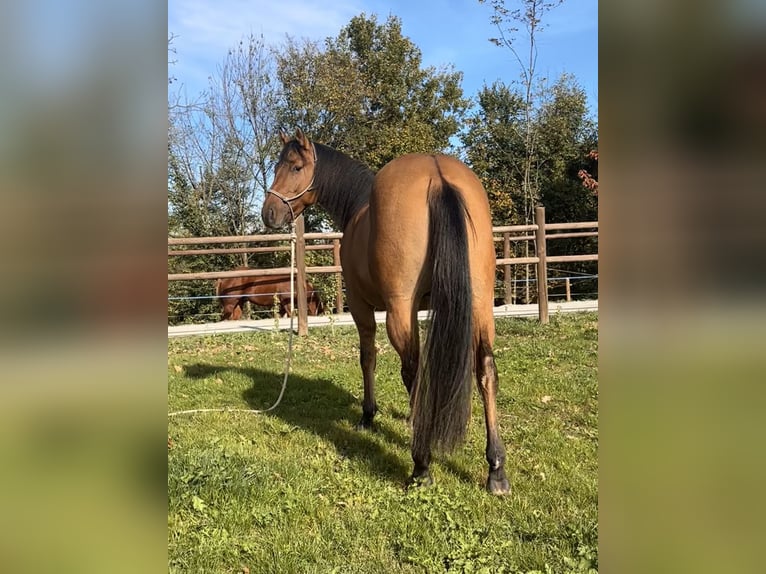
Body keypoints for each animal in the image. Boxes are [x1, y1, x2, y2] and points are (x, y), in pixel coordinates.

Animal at [262, 129, 509, 494]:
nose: (269, 213)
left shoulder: (362, 308)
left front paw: (369, 415)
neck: (359, 209)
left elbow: (368, 358)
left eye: (294, 166)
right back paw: (496, 470)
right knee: (485, 370)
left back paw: (421, 465)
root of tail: (437, 174)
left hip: (399, 311)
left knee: (412, 370)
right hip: (479, 303)